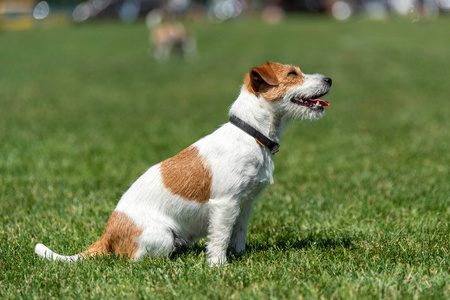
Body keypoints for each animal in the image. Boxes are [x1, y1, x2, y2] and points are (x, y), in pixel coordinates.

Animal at [34, 62, 330, 266]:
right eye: (292, 74)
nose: (329, 78)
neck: (251, 134)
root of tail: (107, 236)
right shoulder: (225, 204)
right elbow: (220, 236)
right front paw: (218, 265)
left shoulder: (246, 204)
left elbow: (239, 233)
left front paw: (240, 255)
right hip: (162, 236)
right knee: (134, 260)